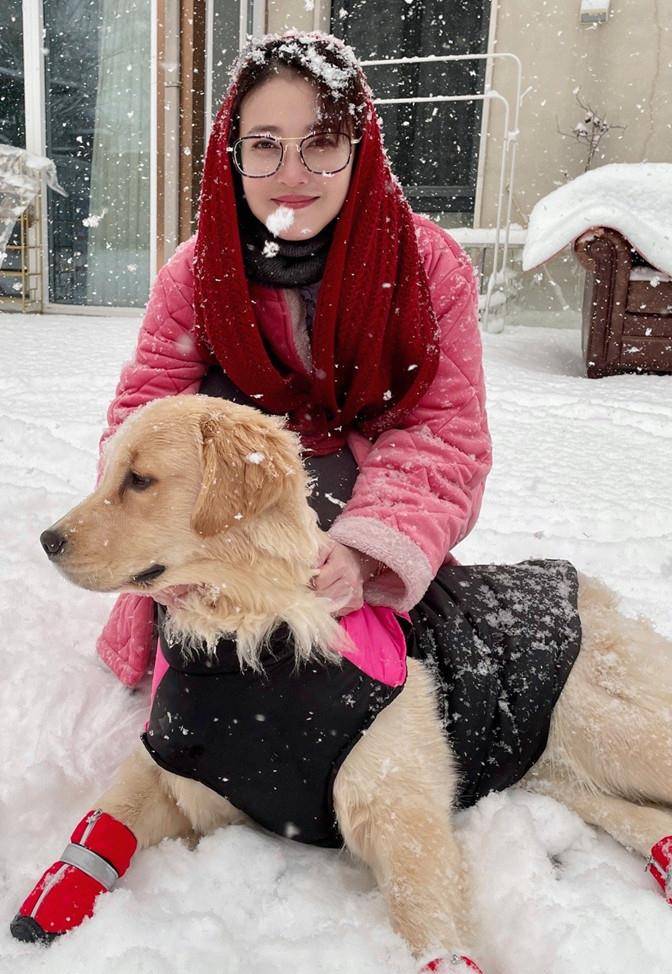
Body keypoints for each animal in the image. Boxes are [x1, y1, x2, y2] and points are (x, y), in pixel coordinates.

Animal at [17, 394, 672, 968]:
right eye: (110, 474)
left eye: (139, 480)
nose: (47, 541)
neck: (249, 643)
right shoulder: (178, 771)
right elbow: (108, 818)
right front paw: (54, 897)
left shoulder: (397, 803)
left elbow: (425, 916)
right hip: (558, 769)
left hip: (612, 732)